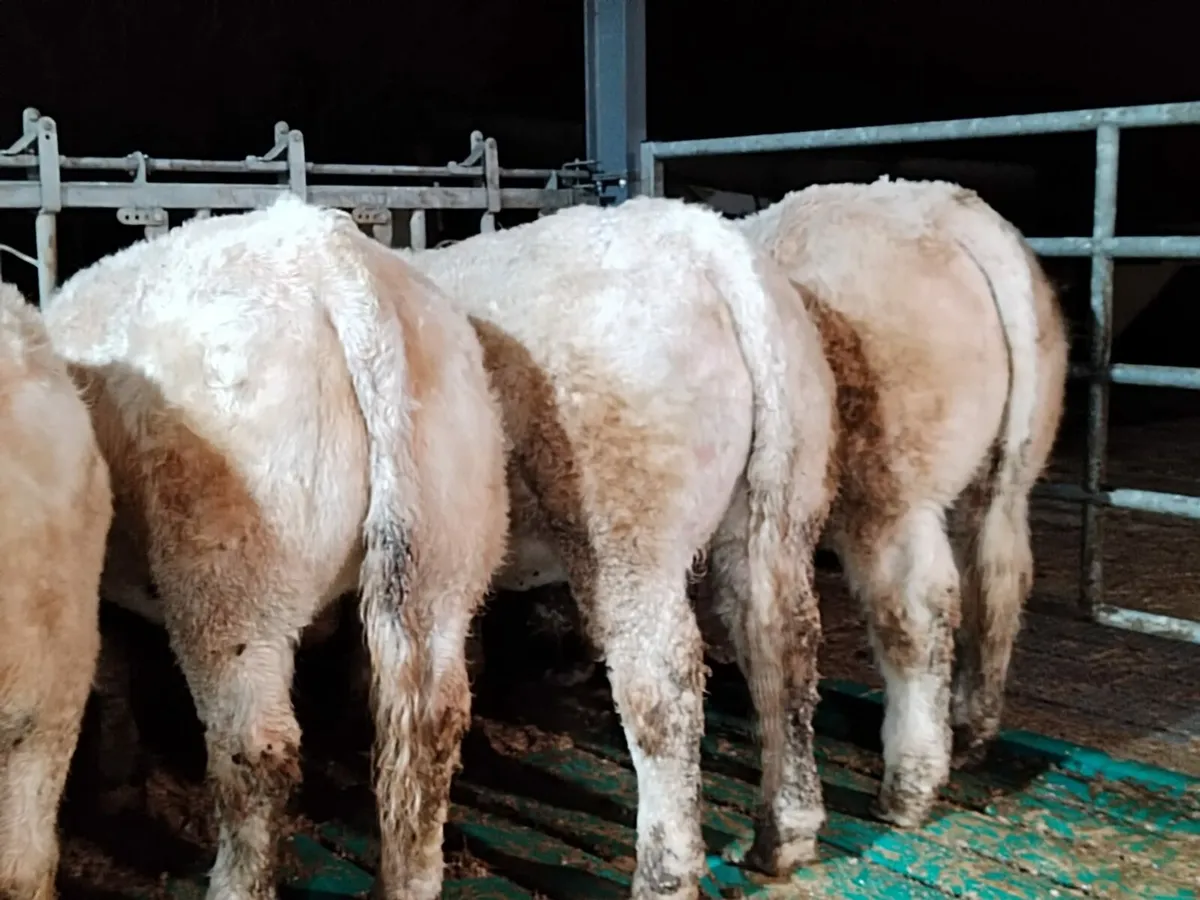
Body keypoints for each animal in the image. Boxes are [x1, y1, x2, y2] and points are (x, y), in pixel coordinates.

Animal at [40, 195, 510, 900]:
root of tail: (338, 263)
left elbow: (112, 677)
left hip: (231, 578)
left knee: (257, 751)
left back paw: (233, 882)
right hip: (445, 550)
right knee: (435, 719)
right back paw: (411, 879)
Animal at [398, 195, 839, 899]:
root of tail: (715, 252)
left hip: (626, 513)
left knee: (661, 684)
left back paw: (664, 871)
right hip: (782, 491)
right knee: (782, 638)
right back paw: (785, 832)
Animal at [734, 177, 1069, 827]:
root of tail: (945, 213)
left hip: (888, 493)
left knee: (916, 614)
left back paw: (911, 782)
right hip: (1002, 479)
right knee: (997, 580)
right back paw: (971, 727)